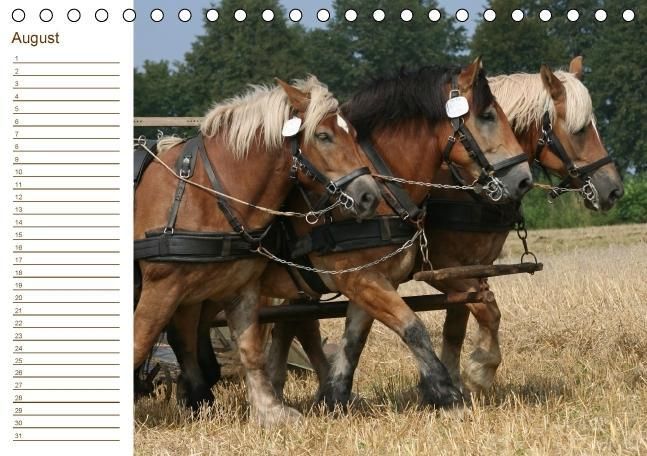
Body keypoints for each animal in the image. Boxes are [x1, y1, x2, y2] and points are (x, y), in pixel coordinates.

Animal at [133, 76, 382, 426]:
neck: (204, 193)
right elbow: (139, 343)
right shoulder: (161, 287)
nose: (369, 196)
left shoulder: (239, 286)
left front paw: (271, 411)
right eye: (323, 135)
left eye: (354, 135)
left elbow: (250, 349)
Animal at [163, 58, 534, 418]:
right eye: (487, 116)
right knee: (185, 331)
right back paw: (200, 395)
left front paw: (335, 396)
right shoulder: (366, 279)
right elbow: (414, 327)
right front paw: (450, 391)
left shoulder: (378, 280)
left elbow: (355, 340)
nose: (523, 179)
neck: (385, 187)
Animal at [267, 56, 624, 406]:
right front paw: (477, 372)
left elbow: (457, 324)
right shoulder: (441, 270)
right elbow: (486, 309)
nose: (613, 190)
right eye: (580, 129)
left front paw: (455, 380)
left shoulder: (469, 268)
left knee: (292, 324)